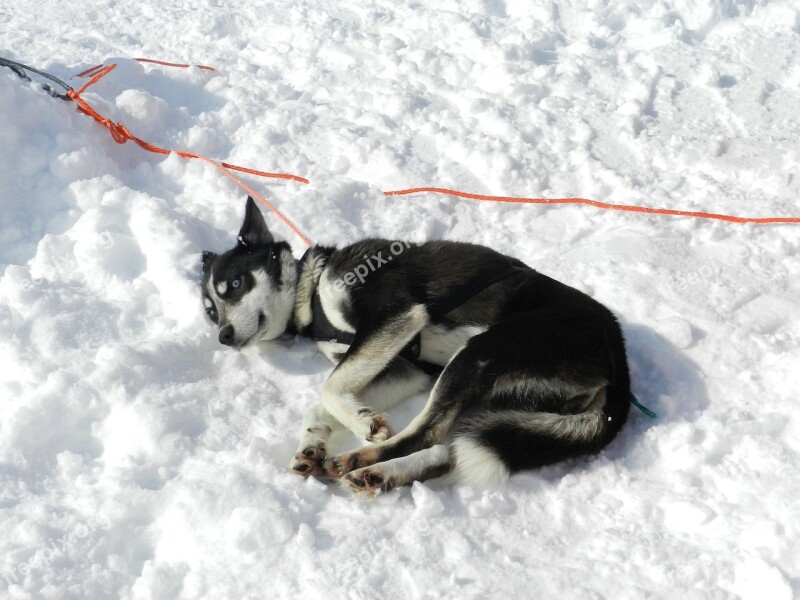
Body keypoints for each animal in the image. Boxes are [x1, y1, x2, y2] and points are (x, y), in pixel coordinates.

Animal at [202, 198, 632, 496]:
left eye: (234, 285)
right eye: (210, 310)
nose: (224, 335)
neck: (313, 289)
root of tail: (617, 353)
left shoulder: (398, 316)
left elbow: (328, 388)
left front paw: (363, 424)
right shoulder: (402, 368)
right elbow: (322, 403)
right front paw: (312, 444)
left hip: (482, 352)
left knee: (426, 434)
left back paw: (362, 461)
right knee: (445, 450)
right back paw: (379, 474)